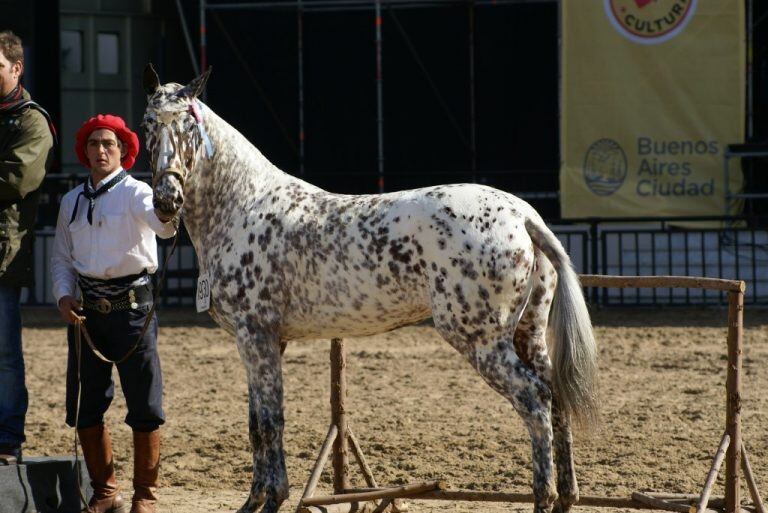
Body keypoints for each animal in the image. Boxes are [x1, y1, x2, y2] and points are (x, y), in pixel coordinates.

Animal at [144, 66, 600, 512]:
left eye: (187, 124)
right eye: (149, 124)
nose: (166, 200)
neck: (243, 206)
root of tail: (522, 215)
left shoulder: (255, 335)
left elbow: (270, 423)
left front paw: (271, 498)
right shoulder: (268, 341)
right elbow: (256, 423)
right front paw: (255, 499)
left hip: (481, 341)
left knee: (534, 401)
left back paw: (543, 497)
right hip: (529, 333)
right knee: (555, 397)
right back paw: (566, 496)